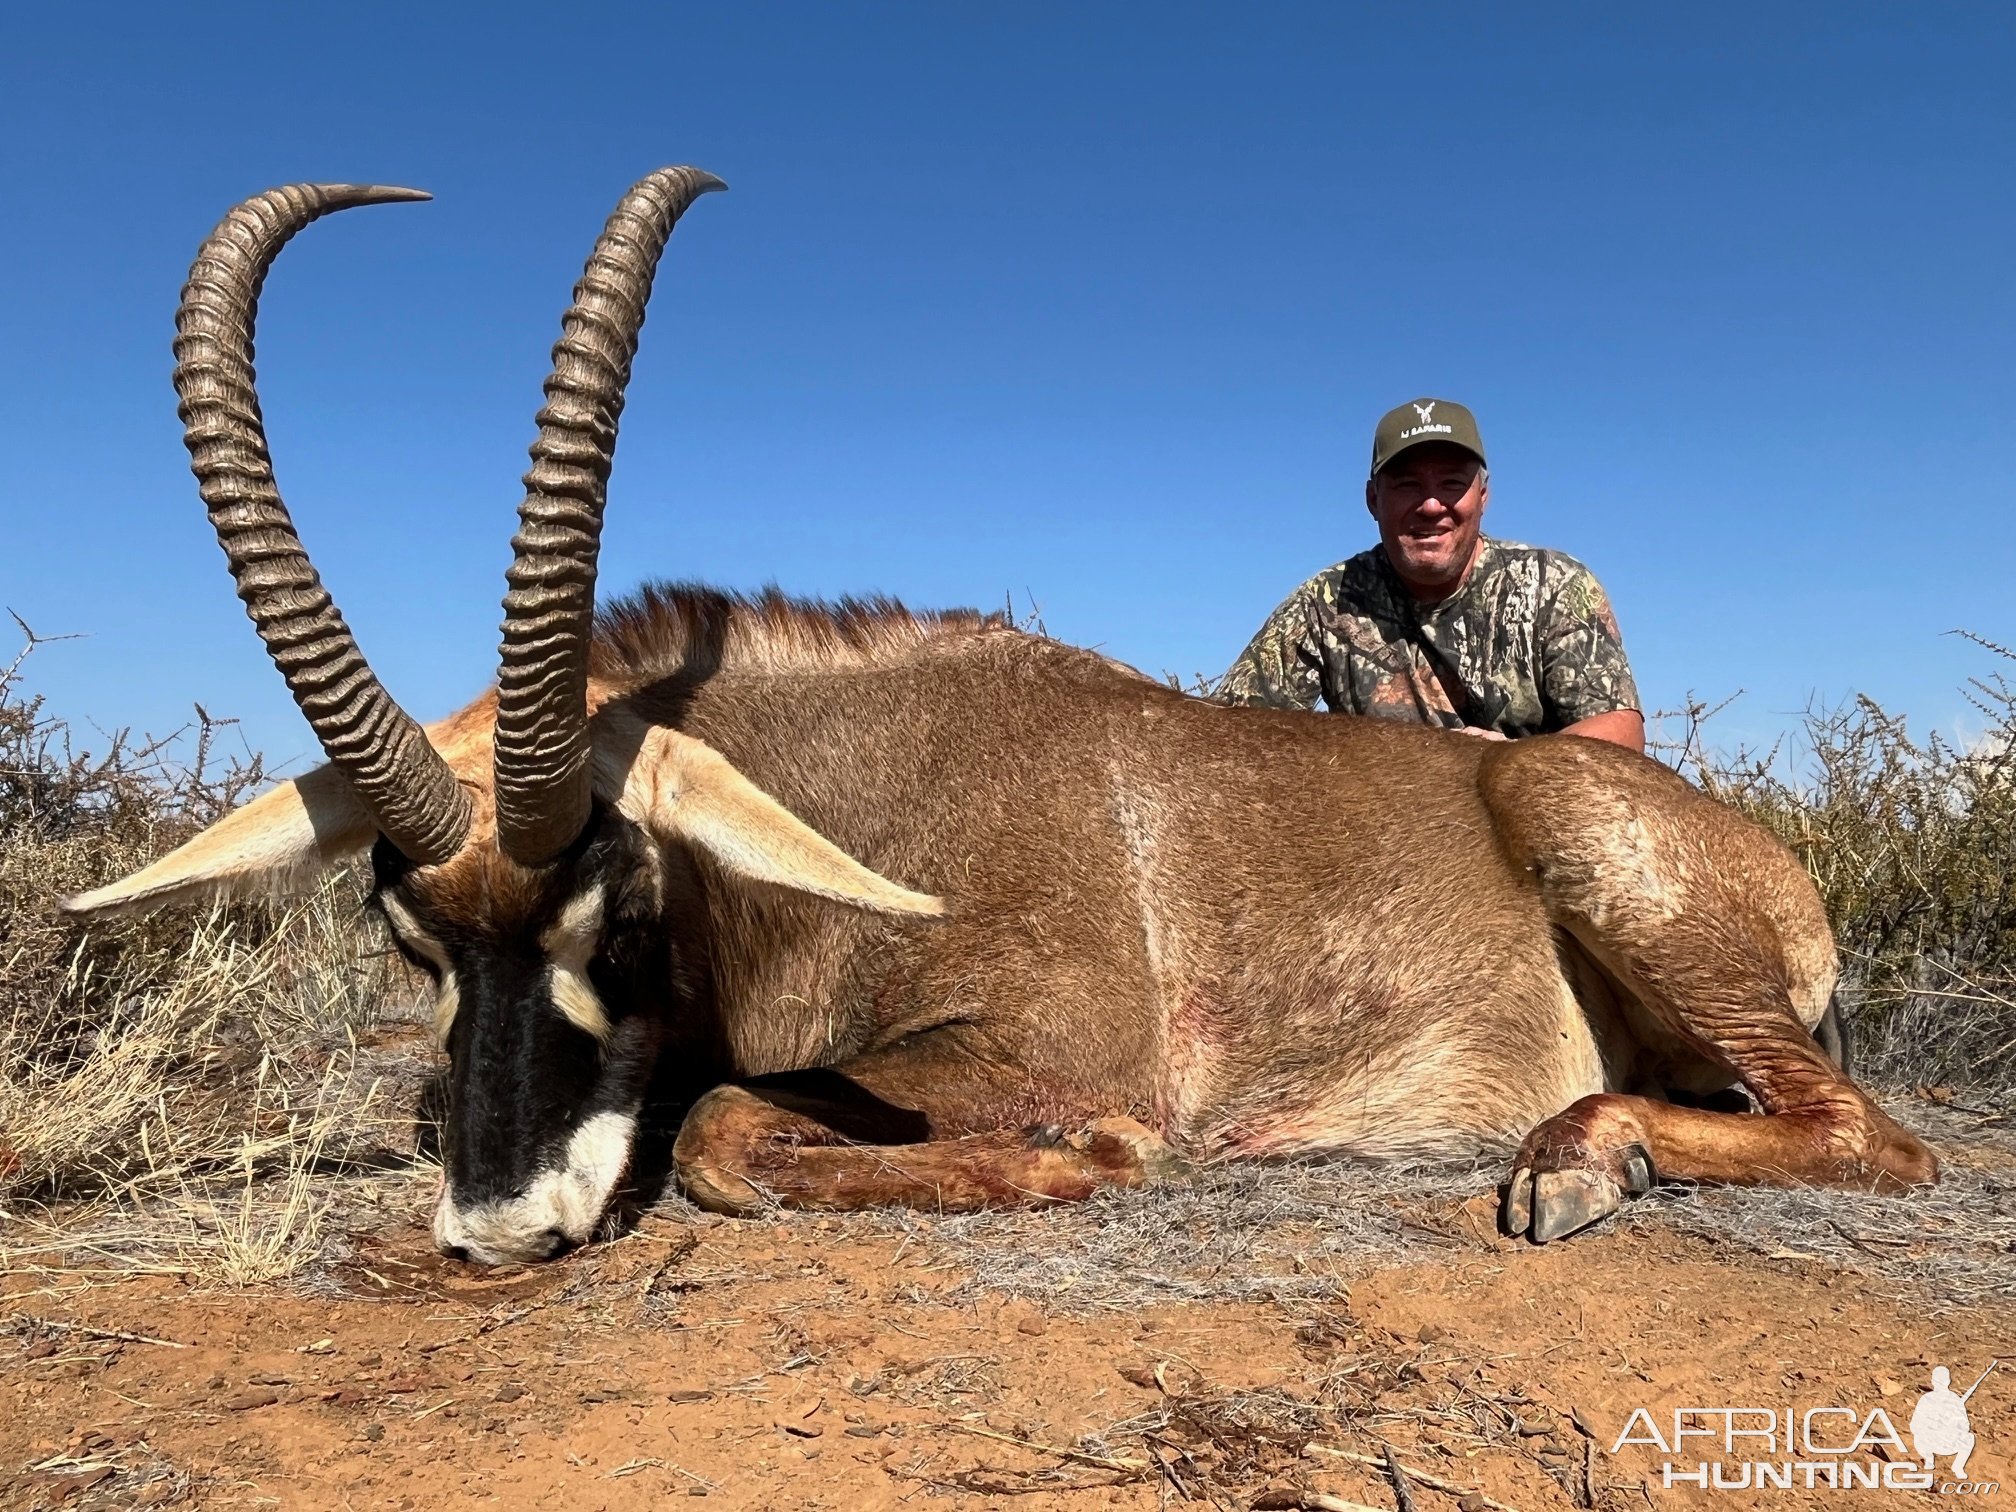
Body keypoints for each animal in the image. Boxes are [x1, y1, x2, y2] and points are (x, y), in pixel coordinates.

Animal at [63, 168, 1935, 1266]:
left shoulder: (1033, 1043)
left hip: (1584, 843)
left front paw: (1086, 1157)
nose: (502, 1230)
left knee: (1875, 1138)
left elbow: (733, 1125)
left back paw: (1580, 1159)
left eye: (620, 898)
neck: (860, 802)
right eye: (408, 939)